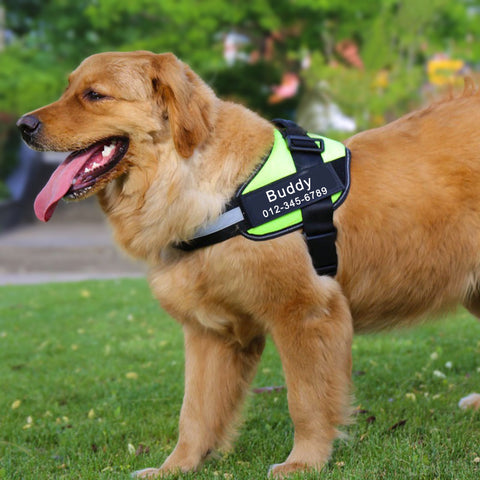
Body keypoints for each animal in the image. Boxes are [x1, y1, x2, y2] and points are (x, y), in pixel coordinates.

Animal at [16, 50, 480, 478]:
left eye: (95, 95)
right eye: (68, 89)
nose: (23, 125)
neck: (224, 195)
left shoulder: (306, 311)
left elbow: (305, 400)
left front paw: (305, 461)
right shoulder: (211, 331)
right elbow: (194, 412)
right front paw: (176, 467)